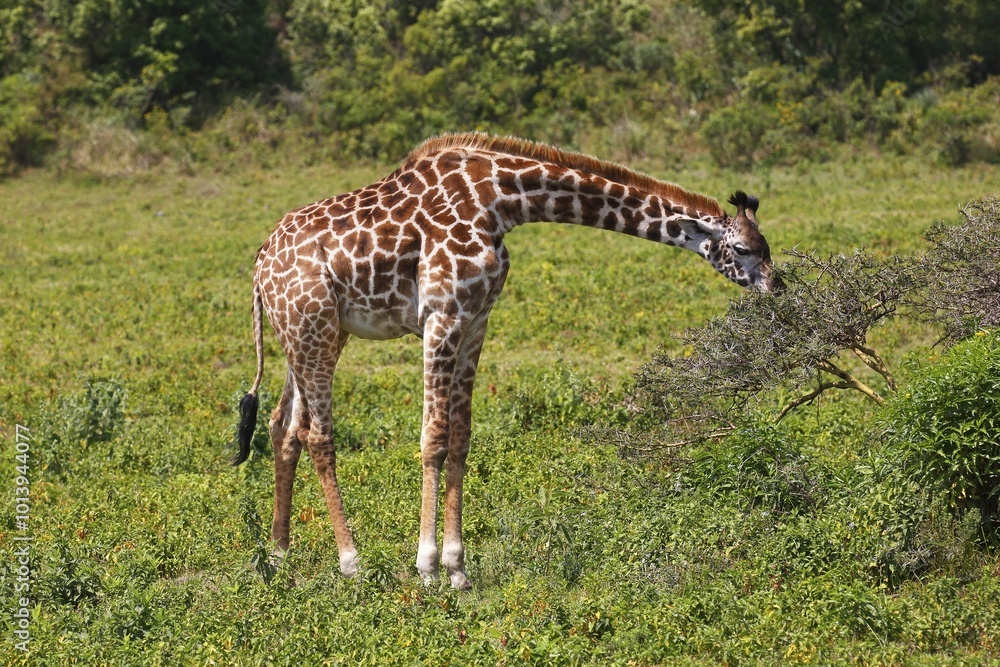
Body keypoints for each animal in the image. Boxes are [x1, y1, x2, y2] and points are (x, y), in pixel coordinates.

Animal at [232, 133, 779, 589]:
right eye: (743, 248)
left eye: (765, 247)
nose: (779, 287)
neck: (501, 201)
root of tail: (259, 264)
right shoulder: (442, 315)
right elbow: (433, 437)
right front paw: (427, 568)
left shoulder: (477, 319)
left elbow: (460, 437)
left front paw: (458, 568)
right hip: (314, 329)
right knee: (318, 435)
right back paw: (352, 563)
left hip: (314, 333)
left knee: (283, 426)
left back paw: (279, 556)